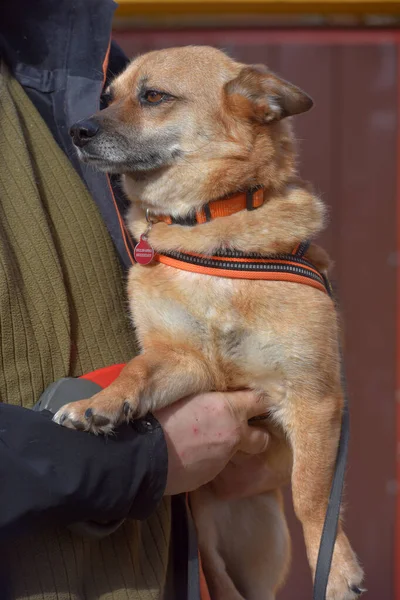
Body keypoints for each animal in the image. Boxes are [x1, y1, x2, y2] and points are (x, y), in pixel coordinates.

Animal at [58, 47, 362, 600]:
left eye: (154, 96)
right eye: (108, 97)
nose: (77, 129)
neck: (207, 231)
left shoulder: (314, 398)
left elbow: (312, 495)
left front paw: (336, 569)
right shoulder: (187, 363)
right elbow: (136, 370)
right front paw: (102, 403)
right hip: (215, 556)